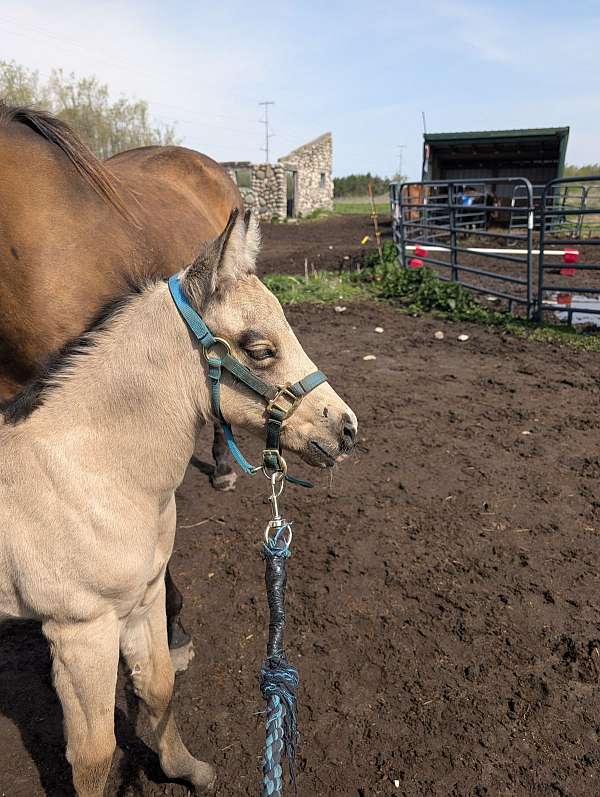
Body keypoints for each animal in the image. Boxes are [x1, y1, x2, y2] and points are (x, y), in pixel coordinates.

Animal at [0, 208, 358, 796]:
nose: (346, 428)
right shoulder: (80, 632)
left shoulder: (144, 601)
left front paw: (186, 770)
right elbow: (93, 754)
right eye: (260, 348)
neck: (89, 473)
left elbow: (159, 690)